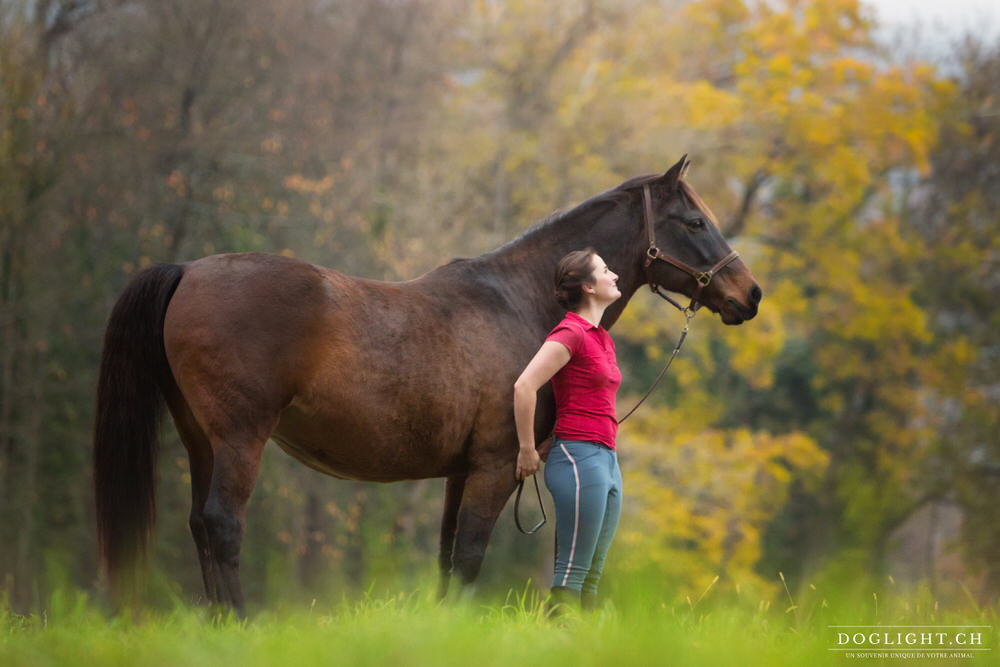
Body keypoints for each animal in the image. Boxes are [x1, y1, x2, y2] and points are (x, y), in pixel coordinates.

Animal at [95, 157, 756, 616]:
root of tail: (188, 270)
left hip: (201, 442)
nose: (749, 295)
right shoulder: (495, 467)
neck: (520, 301)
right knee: (222, 525)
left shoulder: (460, 472)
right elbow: (469, 557)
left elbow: (446, 559)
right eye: (695, 221)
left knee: (199, 527)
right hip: (239, 440)